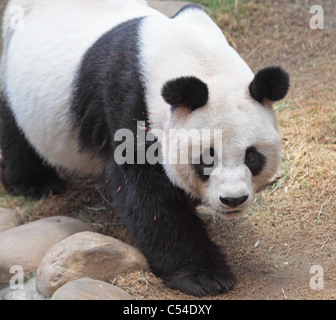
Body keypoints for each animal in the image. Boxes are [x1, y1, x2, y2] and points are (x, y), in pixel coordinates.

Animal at [0, 0, 288, 298]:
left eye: (251, 156)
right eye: (207, 158)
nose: (233, 200)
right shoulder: (127, 98)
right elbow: (146, 191)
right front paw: (205, 276)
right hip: (14, 73)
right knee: (15, 128)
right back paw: (35, 184)